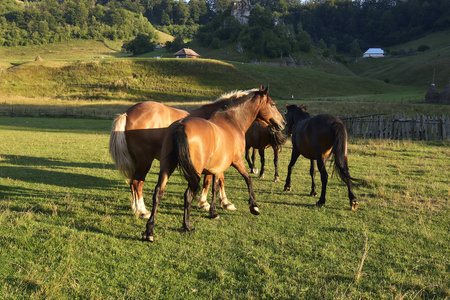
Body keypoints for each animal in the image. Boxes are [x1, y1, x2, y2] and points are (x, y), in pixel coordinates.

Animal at [142, 86, 284, 241]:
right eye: (273, 104)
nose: (283, 123)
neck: (232, 123)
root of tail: (180, 125)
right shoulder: (237, 161)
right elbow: (247, 179)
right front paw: (254, 206)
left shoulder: (217, 168)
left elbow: (215, 187)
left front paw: (214, 211)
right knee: (188, 195)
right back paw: (187, 226)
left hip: (166, 168)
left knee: (158, 193)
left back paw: (149, 231)